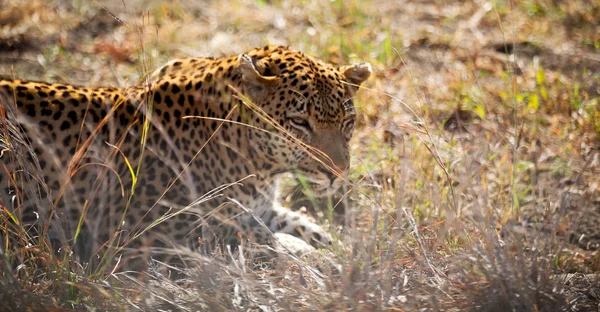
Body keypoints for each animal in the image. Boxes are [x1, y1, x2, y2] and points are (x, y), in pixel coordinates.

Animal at [0, 45, 370, 268]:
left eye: (347, 122)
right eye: (299, 123)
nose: (338, 172)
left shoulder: (258, 209)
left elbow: (301, 224)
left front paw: (339, 247)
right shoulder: (153, 237)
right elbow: (253, 240)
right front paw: (309, 256)